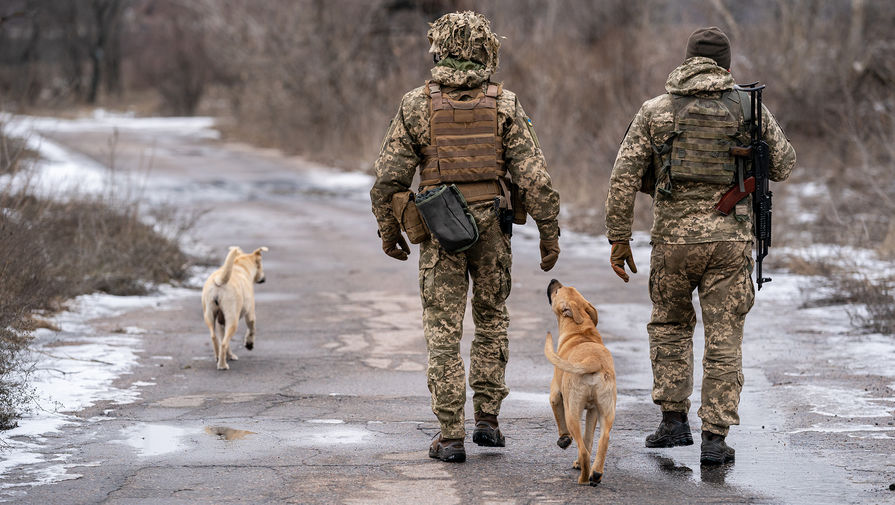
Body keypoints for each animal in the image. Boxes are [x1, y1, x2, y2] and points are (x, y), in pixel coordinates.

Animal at [544, 278, 616, 486]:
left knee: (584, 450)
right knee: (601, 440)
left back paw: (583, 479)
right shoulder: (592, 411)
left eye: (557, 291)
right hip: (606, 411)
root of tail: (593, 361)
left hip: (572, 412)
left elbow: (559, 420)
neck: (580, 330)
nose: (553, 280)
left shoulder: (555, 395)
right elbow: (588, 438)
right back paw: (596, 473)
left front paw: (564, 440)